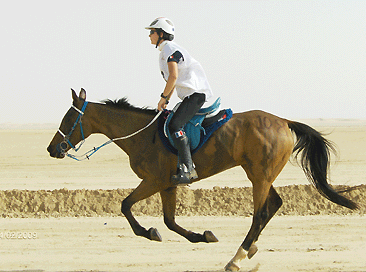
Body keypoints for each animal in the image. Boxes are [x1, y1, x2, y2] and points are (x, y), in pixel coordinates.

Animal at [46, 88, 358, 270]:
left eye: (67, 120)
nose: (52, 149)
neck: (140, 134)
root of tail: (285, 122)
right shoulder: (168, 184)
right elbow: (169, 221)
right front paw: (202, 236)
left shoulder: (153, 182)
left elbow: (126, 206)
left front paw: (148, 232)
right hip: (261, 174)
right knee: (274, 204)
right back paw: (250, 249)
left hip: (259, 175)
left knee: (260, 212)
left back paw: (237, 257)